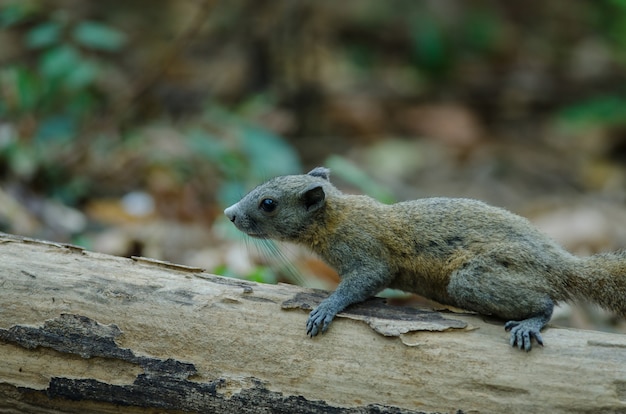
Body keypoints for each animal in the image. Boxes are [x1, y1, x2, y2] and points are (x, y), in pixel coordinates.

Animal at [222, 167, 620, 350]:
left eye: (268, 203)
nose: (229, 213)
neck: (337, 219)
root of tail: (561, 264)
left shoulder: (368, 253)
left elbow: (364, 281)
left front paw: (325, 308)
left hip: (471, 280)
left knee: (547, 302)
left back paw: (531, 322)